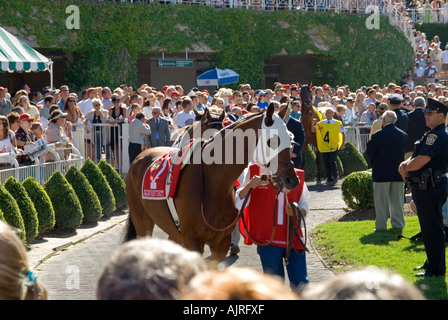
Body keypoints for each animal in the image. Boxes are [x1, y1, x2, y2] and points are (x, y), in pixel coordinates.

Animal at [124, 104, 298, 262]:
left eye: (290, 139)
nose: (292, 180)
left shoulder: (221, 243)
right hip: (142, 222)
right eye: (272, 141)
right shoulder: (192, 240)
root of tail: (140, 157)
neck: (213, 182)